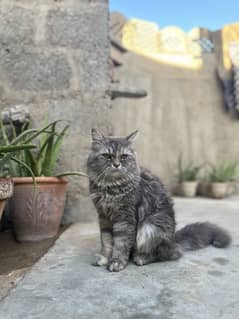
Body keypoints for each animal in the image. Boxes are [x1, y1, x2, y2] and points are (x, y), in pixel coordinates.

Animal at [87, 130, 231, 272]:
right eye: (107, 156)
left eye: (123, 156)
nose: (116, 165)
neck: (110, 187)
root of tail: (174, 239)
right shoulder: (104, 216)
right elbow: (106, 241)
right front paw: (104, 258)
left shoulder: (125, 218)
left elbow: (120, 244)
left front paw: (117, 262)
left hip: (149, 228)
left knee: (172, 254)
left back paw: (141, 258)